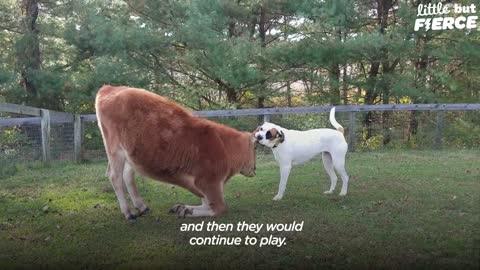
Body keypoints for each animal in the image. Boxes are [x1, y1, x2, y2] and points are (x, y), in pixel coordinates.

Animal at [95, 85, 256, 220]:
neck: (223, 146)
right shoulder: (209, 182)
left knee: (127, 175)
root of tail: (110, 88)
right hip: (115, 149)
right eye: (254, 148)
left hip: (130, 154)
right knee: (115, 176)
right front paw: (187, 210)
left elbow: (205, 202)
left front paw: (183, 208)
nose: (255, 169)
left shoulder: (201, 185)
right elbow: (219, 207)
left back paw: (142, 206)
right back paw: (128, 212)